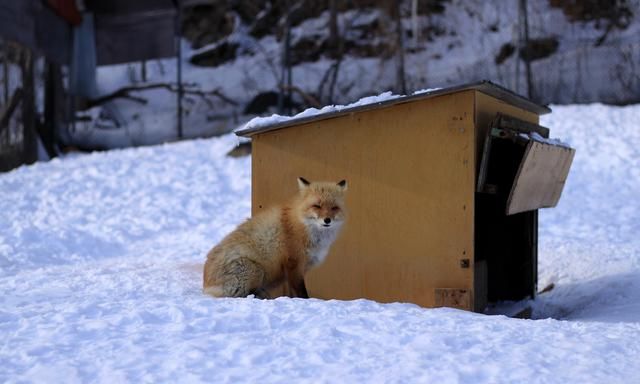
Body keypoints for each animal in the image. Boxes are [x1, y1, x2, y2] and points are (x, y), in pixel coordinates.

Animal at [202, 177, 348, 300]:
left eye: (334, 208)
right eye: (317, 206)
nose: (327, 220)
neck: (302, 225)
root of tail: (206, 285)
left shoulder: (299, 267)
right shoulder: (294, 263)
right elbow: (301, 291)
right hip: (255, 270)